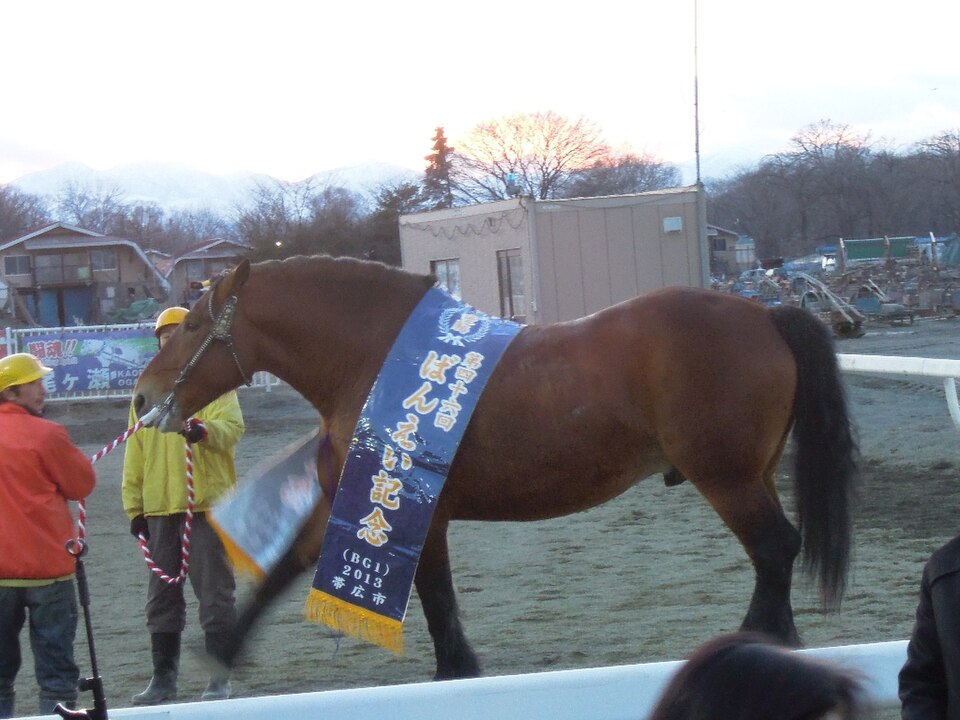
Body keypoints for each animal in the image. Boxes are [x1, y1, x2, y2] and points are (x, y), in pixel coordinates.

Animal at [132, 254, 858, 680]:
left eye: (192, 327)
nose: (142, 397)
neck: (376, 357)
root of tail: (766, 312)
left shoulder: (415, 508)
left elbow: (436, 598)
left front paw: (456, 670)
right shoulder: (357, 501)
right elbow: (289, 566)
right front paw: (224, 651)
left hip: (726, 478)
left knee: (775, 547)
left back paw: (760, 640)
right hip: (750, 475)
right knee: (777, 550)